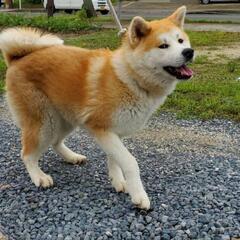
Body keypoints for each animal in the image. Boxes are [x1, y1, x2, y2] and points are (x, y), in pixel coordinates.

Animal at [0, 6, 194, 209]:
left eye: (180, 41)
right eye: (163, 46)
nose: (189, 52)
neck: (129, 78)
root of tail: (18, 58)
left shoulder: (113, 132)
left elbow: (115, 160)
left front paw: (118, 181)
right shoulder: (101, 128)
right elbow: (130, 162)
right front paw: (139, 195)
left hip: (65, 119)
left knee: (56, 142)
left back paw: (72, 157)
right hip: (45, 123)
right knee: (27, 154)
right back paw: (39, 176)